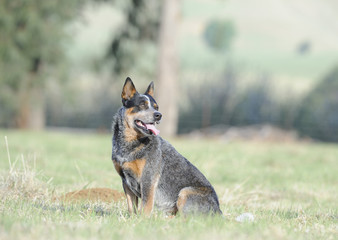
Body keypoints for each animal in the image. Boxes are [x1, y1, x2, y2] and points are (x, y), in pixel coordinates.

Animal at [111, 77, 222, 216]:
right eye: (142, 105)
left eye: (156, 107)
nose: (158, 115)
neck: (130, 144)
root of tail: (219, 211)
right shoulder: (125, 180)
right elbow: (132, 207)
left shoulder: (148, 178)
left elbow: (146, 206)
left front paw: (143, 220)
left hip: (185, 192)